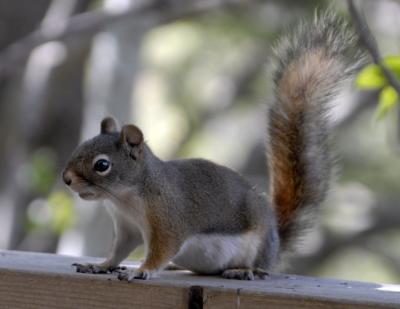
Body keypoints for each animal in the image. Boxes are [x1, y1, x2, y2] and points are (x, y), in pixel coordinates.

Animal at [61, 12, 362, 280]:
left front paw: (142, 270)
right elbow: (118, 252)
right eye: (81, 146)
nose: (66, 179)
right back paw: (176, 267)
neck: (125, 198)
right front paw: (100, 265)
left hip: (257, 243)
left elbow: (162, 250)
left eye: (102, 165)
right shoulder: (127, 228)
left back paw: (243, 270)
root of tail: (275, 246)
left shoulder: (169, 220)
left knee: (259, 267)